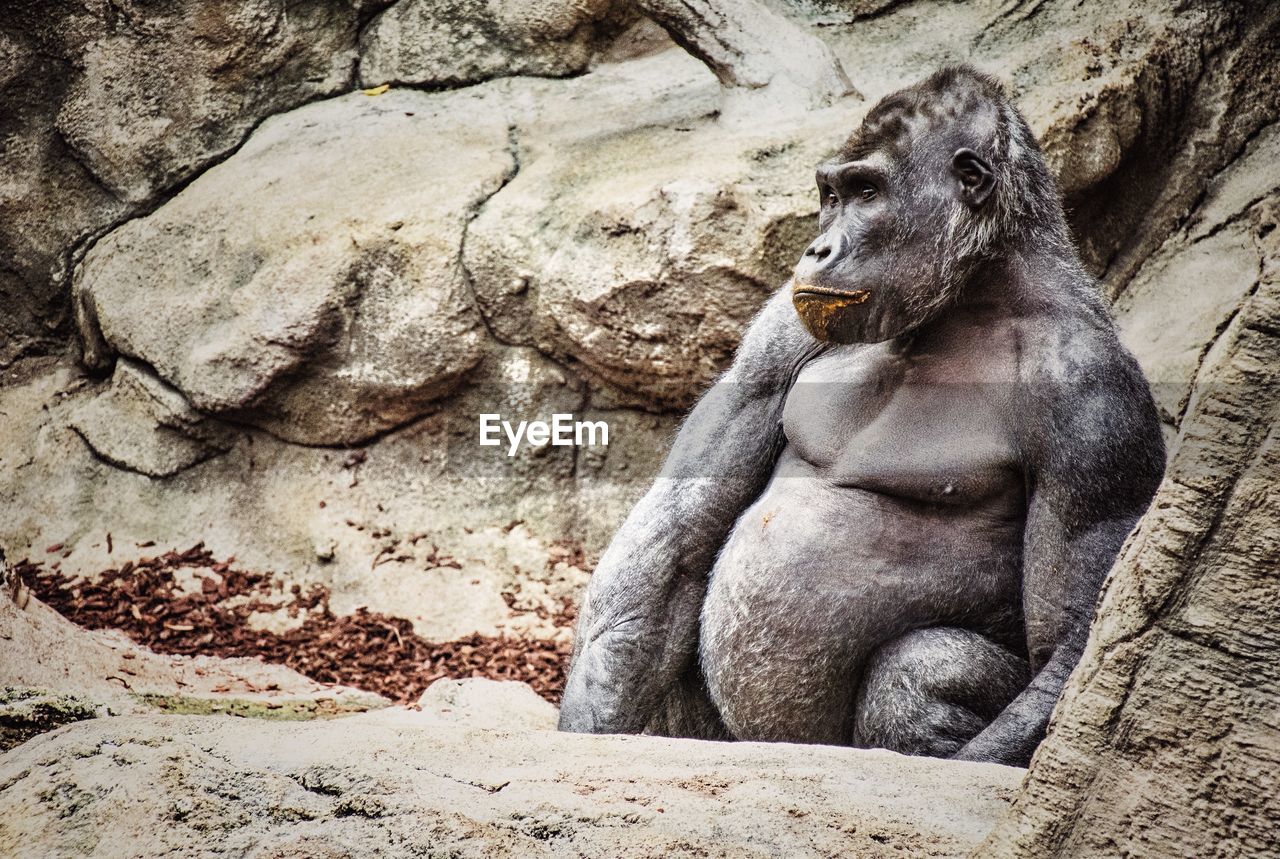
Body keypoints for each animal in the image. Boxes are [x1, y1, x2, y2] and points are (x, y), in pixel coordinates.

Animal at [555, 67, 1167, 768]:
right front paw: (595, 722)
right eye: (831, 195)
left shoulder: (1095, 402)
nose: (818, 248)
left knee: (923, 671)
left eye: (867, 193)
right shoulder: (781, 327)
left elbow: (1069, 639)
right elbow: (678, 528)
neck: (967, 300)